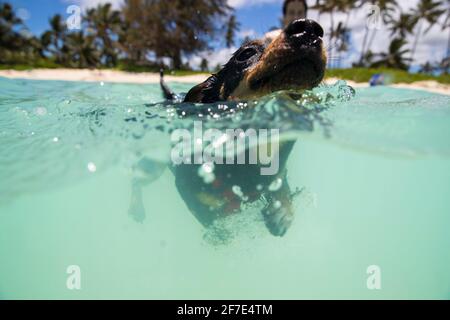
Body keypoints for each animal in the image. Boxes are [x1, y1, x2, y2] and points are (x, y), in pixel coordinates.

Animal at [135, 18, 326, 236]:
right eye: (246, 53)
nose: (309, 28)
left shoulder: (277, 173)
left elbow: (280, 185)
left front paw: (282, 210)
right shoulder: (189, 190)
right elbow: (209, 215)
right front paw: (220, 231)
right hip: (154, 165)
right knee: (137, 178)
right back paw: (136, 208)